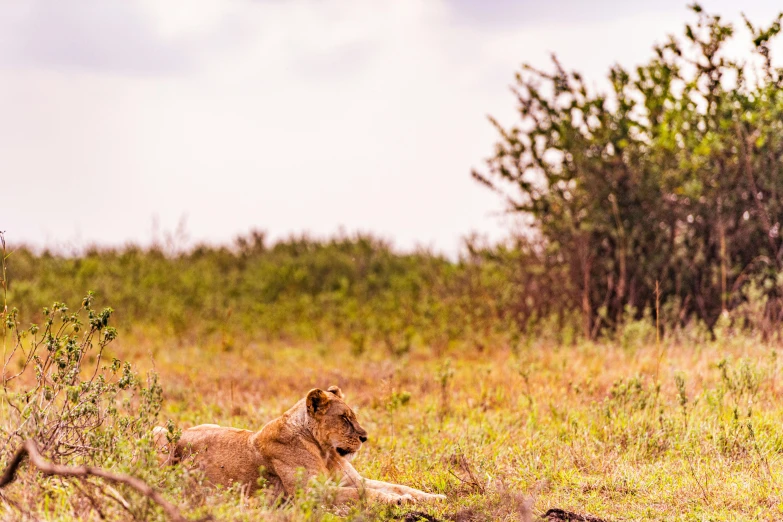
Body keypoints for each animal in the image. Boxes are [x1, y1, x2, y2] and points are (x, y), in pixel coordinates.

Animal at [154, 384, 448, 502]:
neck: (325, 452)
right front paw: (398, 502)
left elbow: (398, 486)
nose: (365, 437)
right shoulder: (310, 491)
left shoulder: (352, 479)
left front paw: (434, 498)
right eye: (344, 418)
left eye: (353, 415)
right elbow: (364, 494)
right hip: (160, 436)